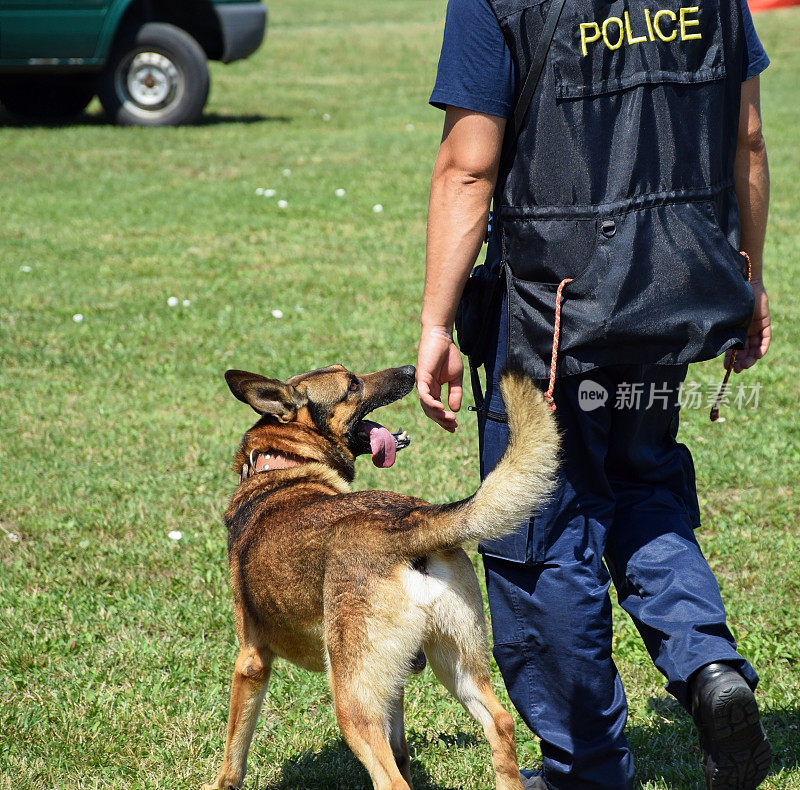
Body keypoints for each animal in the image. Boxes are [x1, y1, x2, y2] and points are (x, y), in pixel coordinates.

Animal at [203, 362, 560, 788]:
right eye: (352, 384)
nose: (410, 370)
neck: (283, 465)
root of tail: (409, 524)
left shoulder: (251, 661)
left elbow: (234, 750)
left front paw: (220, 782)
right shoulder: (394, 683)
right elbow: (401, 748)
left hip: (351, 698)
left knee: (391, 779)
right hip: (455, 664)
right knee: (501, 722)